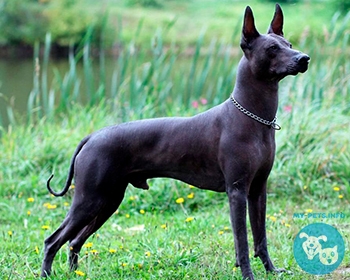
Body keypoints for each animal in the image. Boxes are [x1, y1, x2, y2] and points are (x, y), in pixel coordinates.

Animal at [40, 3, 308, 278]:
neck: (253, 117)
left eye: (288, 43)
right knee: (53, 240)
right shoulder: (237, 191)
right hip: (89, 200)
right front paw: (247, 274)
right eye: (272, 48)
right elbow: (242, 241)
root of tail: (92, 136)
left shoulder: (258, 191)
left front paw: (271, 270)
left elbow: (260, 237)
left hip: (107, 200)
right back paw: (47, 273)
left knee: (74, 240)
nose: (304, 58)